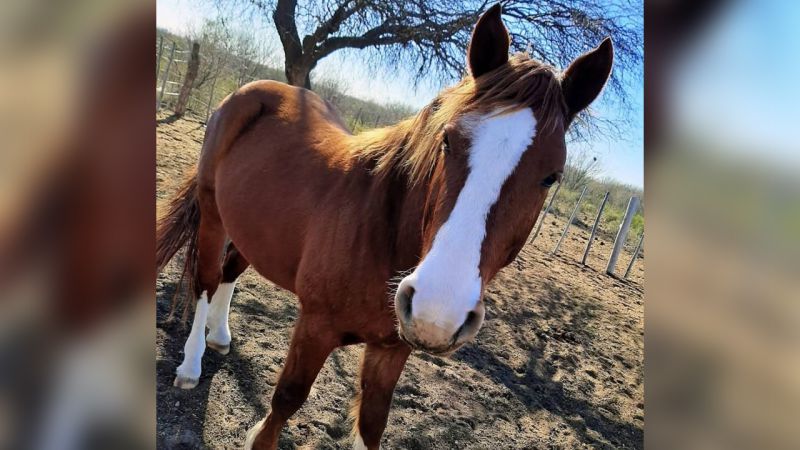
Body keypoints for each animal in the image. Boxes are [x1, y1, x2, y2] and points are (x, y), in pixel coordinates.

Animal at [156, 4, 613, 449]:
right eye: (448, 141)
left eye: (551, 177)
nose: (436, 311)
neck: (382, 231)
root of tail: (252, 91)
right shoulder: (315, 327)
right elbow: (286, 400)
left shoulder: (392, 348)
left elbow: (372, 423)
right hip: (213, 214)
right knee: (206, 280)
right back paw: (192, 363)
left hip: (252, 228)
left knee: (231, 270)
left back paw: (220, 335)